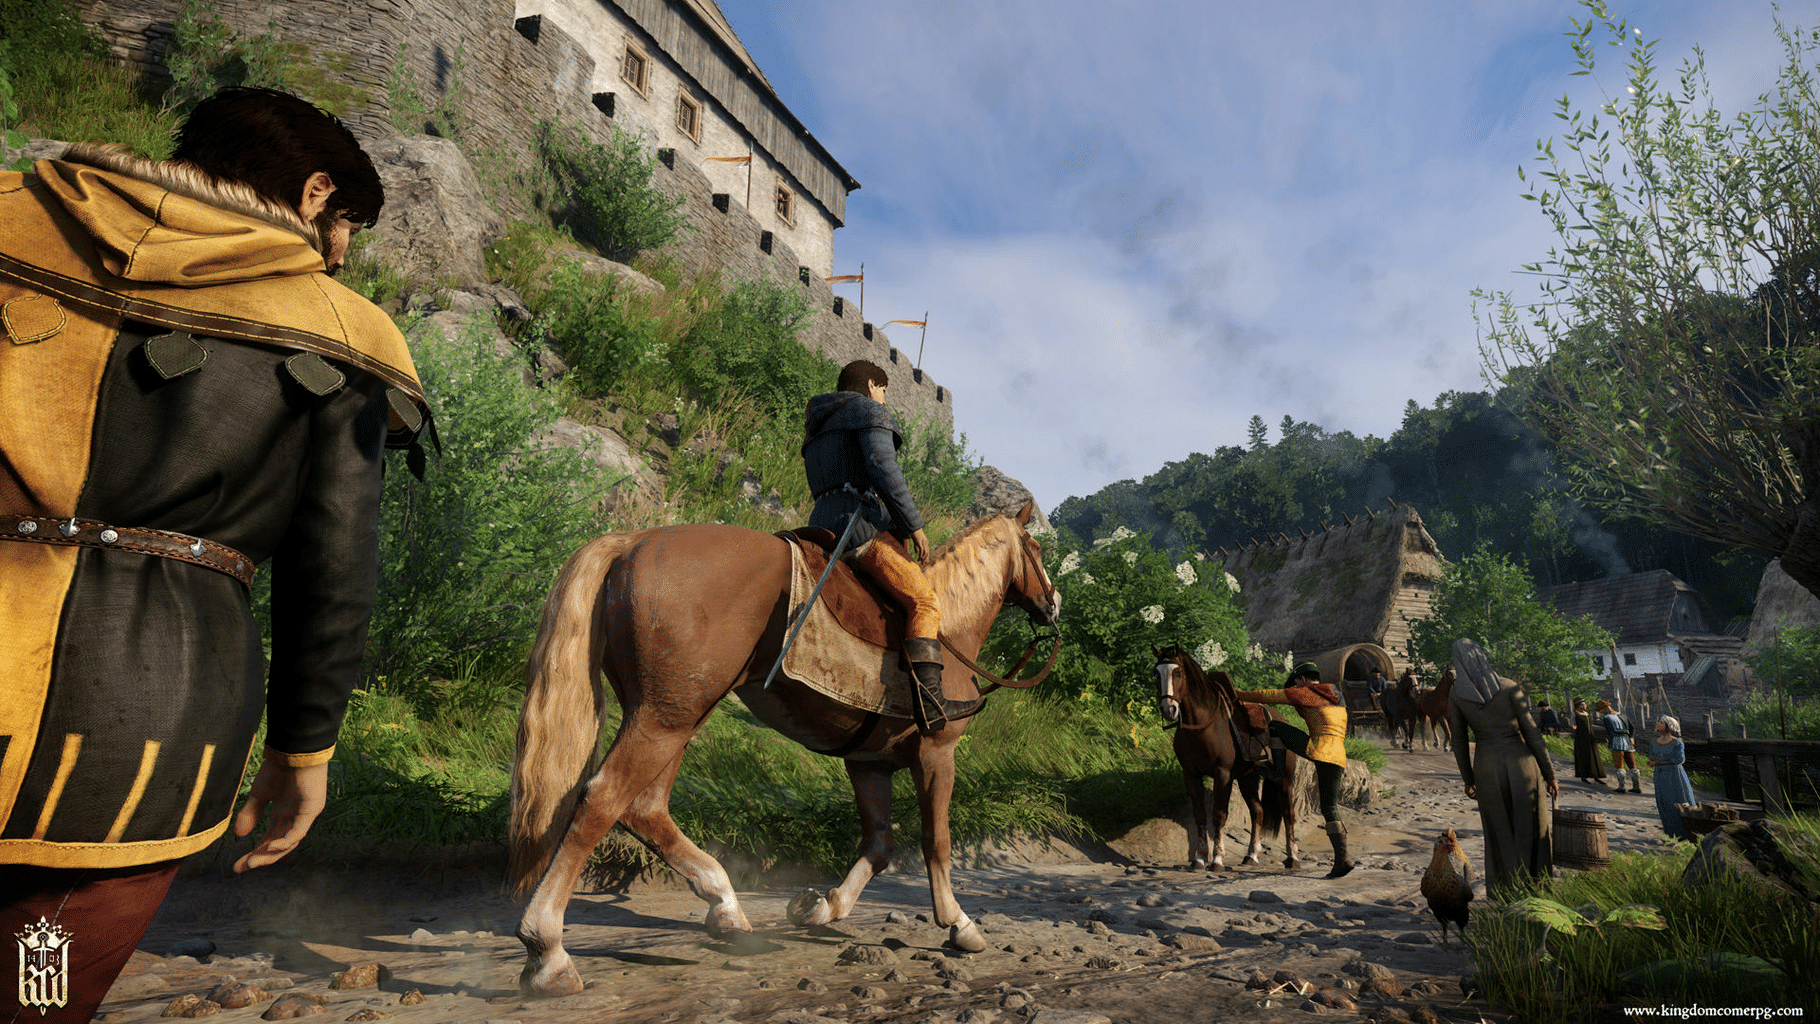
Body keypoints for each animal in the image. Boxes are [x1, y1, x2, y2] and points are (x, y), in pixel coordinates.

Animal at [505, 505, 1062, 1003]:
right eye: (1035, 547)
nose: (1054, 604)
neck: (950, 626)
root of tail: (633, 541)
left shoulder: (868, 763)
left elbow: (879, 845)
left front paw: (823, 907)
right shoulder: (936, 754)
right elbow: (936, 842)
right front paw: (959, 924)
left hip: (678, 715)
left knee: (644, 808)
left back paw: (726, 906)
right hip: (664, 717)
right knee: (602, 800)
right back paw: (547, 951)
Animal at [1150, 643, 1295, 869]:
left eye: (1178, 672)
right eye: (1156, 673)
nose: (1168, 709)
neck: (1202, 725)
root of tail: (1282, 720)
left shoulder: (1223, 774)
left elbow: (1218, 815)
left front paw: (1217, 859)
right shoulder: (1191, 775)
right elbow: (1200, 816)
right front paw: (1199, 858)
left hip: (1285, 778)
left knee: (1289, 814)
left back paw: (1293, 858)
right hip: (1248, 778)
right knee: (1258, 811)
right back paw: (1251, 855)